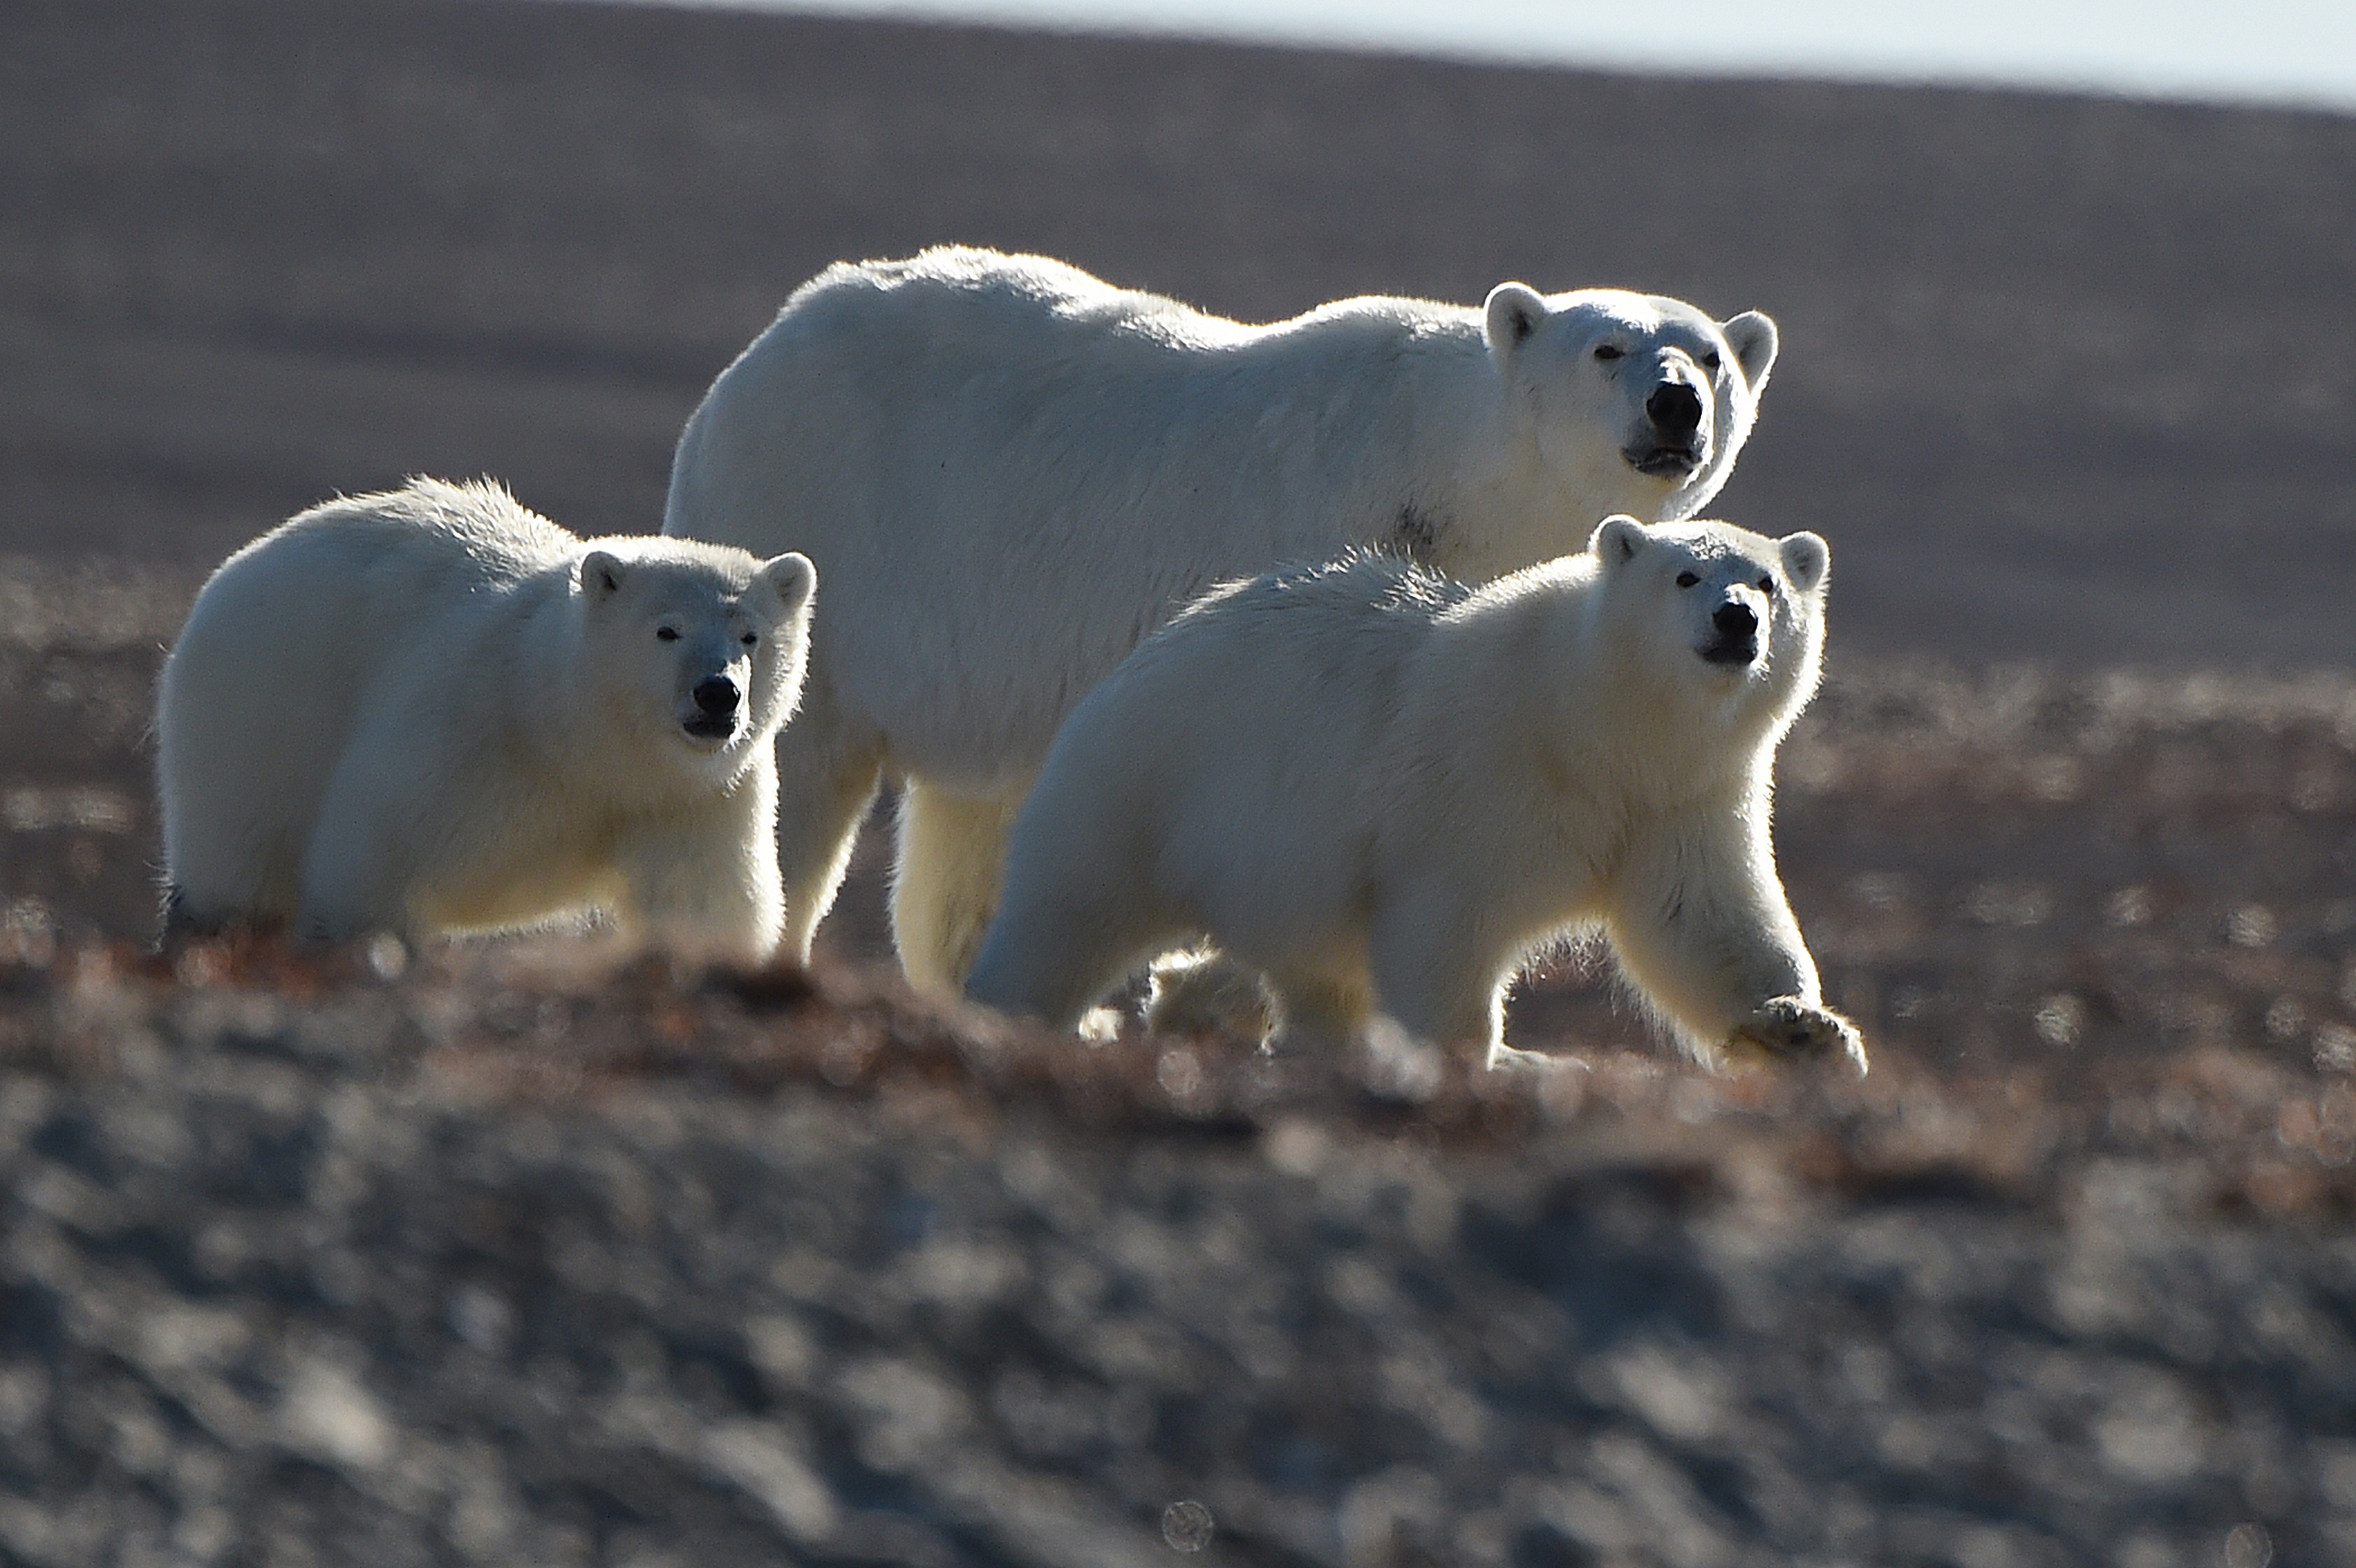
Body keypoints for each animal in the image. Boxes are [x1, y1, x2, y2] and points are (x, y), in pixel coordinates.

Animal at [156, 477, 817, 962]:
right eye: (667, 629)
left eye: (750, 635)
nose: (718, 694)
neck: (569, 735)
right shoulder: (461, 738)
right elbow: (375, 859)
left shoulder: (690, 799)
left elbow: (703, 902)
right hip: (258, 717)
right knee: (238, 863)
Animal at [663, 246, 1781, 996]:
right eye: (1608, 346)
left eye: (1712, 357)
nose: (1676, 405)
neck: (1455, 476)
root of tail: (750, 362)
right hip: (818, 527)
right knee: (803, 768)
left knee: (972, 819)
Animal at [962, 516, 1865, 1075]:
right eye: (1685, 575)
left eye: (1766, 581)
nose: (1736, 618)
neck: (1593, 726)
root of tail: (1134, 661)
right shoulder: (1479, 777)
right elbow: (1444, 924)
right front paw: (1469, 1060)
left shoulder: (1686, 799)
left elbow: (1704, 924)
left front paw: (1806, 1031)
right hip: (1144, 788)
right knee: (1067, 919)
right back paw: (1005, 1013)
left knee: (1310, 969)